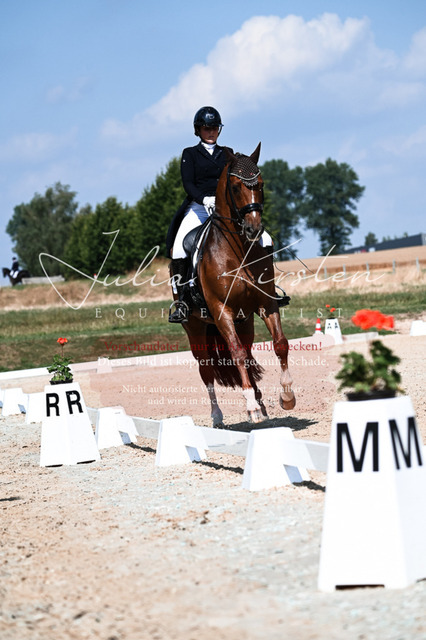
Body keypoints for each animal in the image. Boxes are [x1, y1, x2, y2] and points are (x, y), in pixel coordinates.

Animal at [170, 143, 296, 427]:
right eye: (236, 187)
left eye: (260, 184)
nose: (253, 229)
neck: (238, 251)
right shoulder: (221, 310)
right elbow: (235, 352)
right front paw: (250, 407)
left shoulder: (266, 303)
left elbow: (280, 344)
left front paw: (286, 396)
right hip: (195, 328)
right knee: (206, 368)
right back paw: (218, 416)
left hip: (244, 320)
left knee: (248, 355)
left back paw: (261, 404)